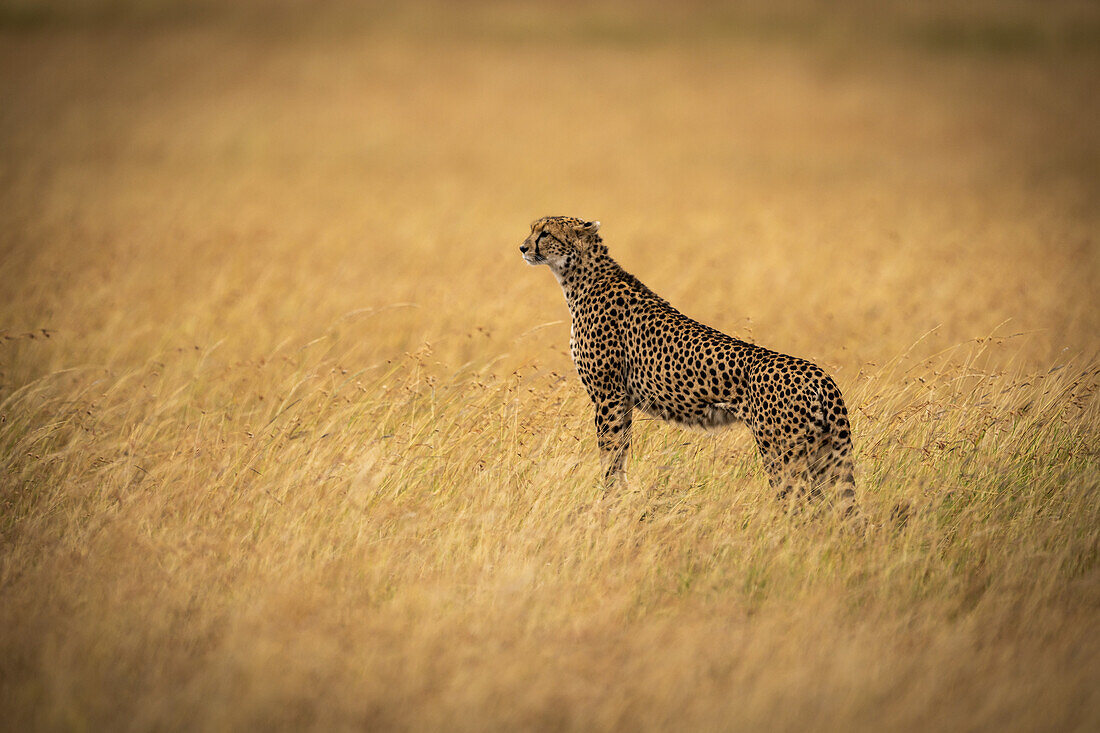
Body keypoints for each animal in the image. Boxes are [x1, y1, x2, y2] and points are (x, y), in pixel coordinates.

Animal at [523, 214, 858, 512]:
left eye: (545, 233)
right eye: (533, 229)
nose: (523, 247)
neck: (581, 278)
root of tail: (819, 375)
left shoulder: (609, 395)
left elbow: (610, 453)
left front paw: (607, 501)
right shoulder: (623, 400)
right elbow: (621, 453)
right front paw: (620, 497)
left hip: (782, 452)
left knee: (800, 505)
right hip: (826, 452)